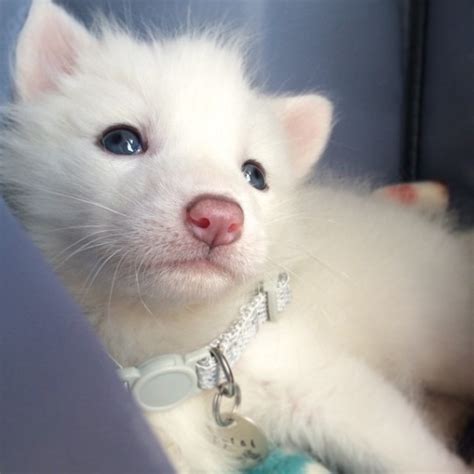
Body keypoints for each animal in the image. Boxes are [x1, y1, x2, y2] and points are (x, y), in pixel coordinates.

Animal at [0, 1, 470, 472]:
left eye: (254, 175)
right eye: (121, 140)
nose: (219, 218)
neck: (175, 358)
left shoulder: (311, 375)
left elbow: (401, 444)